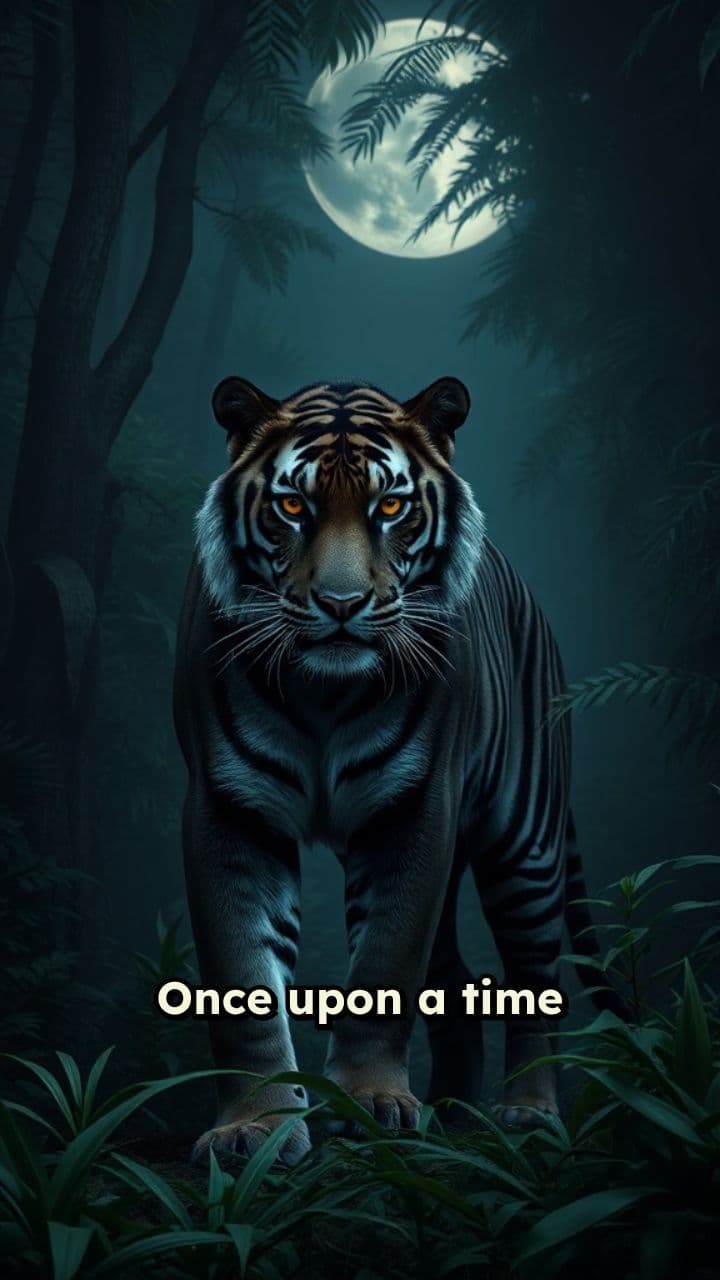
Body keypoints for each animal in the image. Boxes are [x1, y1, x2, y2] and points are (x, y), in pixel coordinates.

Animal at [174, 374, 624, 1166]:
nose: (341, 604)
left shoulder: (415, 808)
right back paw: (452, 1108)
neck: (323, 691)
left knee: (536, 976)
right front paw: (255, 1127)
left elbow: (387, 961)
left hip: (525, 848)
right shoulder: (229, 807)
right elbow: (241, 979)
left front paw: (370, 1103)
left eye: (390, 507)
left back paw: (527, 1112)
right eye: (293, 506)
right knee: (453, 983)